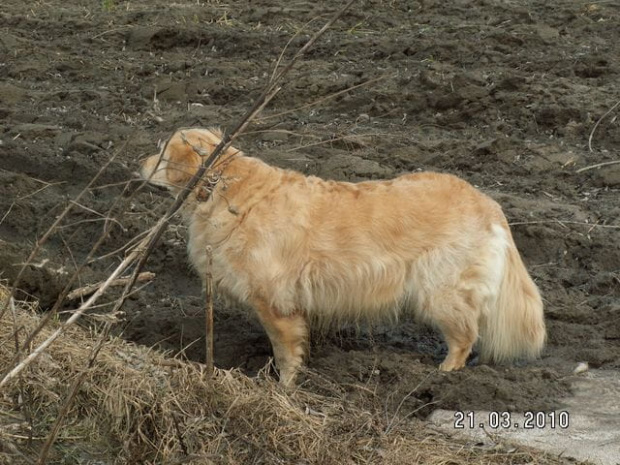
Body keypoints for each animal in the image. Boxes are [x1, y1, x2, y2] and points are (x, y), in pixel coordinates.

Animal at [139, 127, 544, 384]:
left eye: (161, 153)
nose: (137, 164)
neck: (226, 187)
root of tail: (487, 202)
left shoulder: (274, 302)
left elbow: (285, 351)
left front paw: (284, 387)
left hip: (440, 291)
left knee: (465, 335)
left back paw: (445, 375)